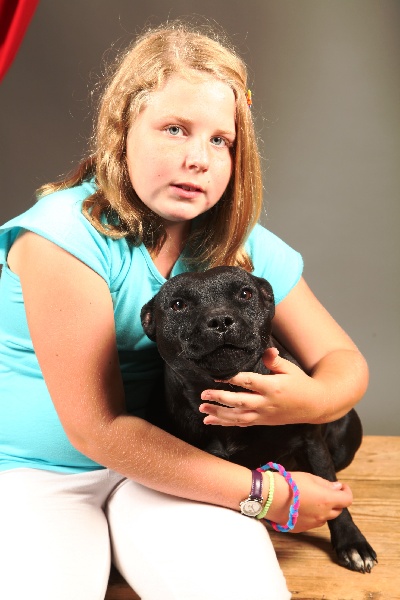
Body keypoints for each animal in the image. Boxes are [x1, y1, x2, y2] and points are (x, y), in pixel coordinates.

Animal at [141, 266, 377, 573]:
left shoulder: (311, 443)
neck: (229, 391)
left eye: (245, 293)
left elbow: (332, 492)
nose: (220, 319)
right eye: (178, 305)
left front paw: (352, 542)